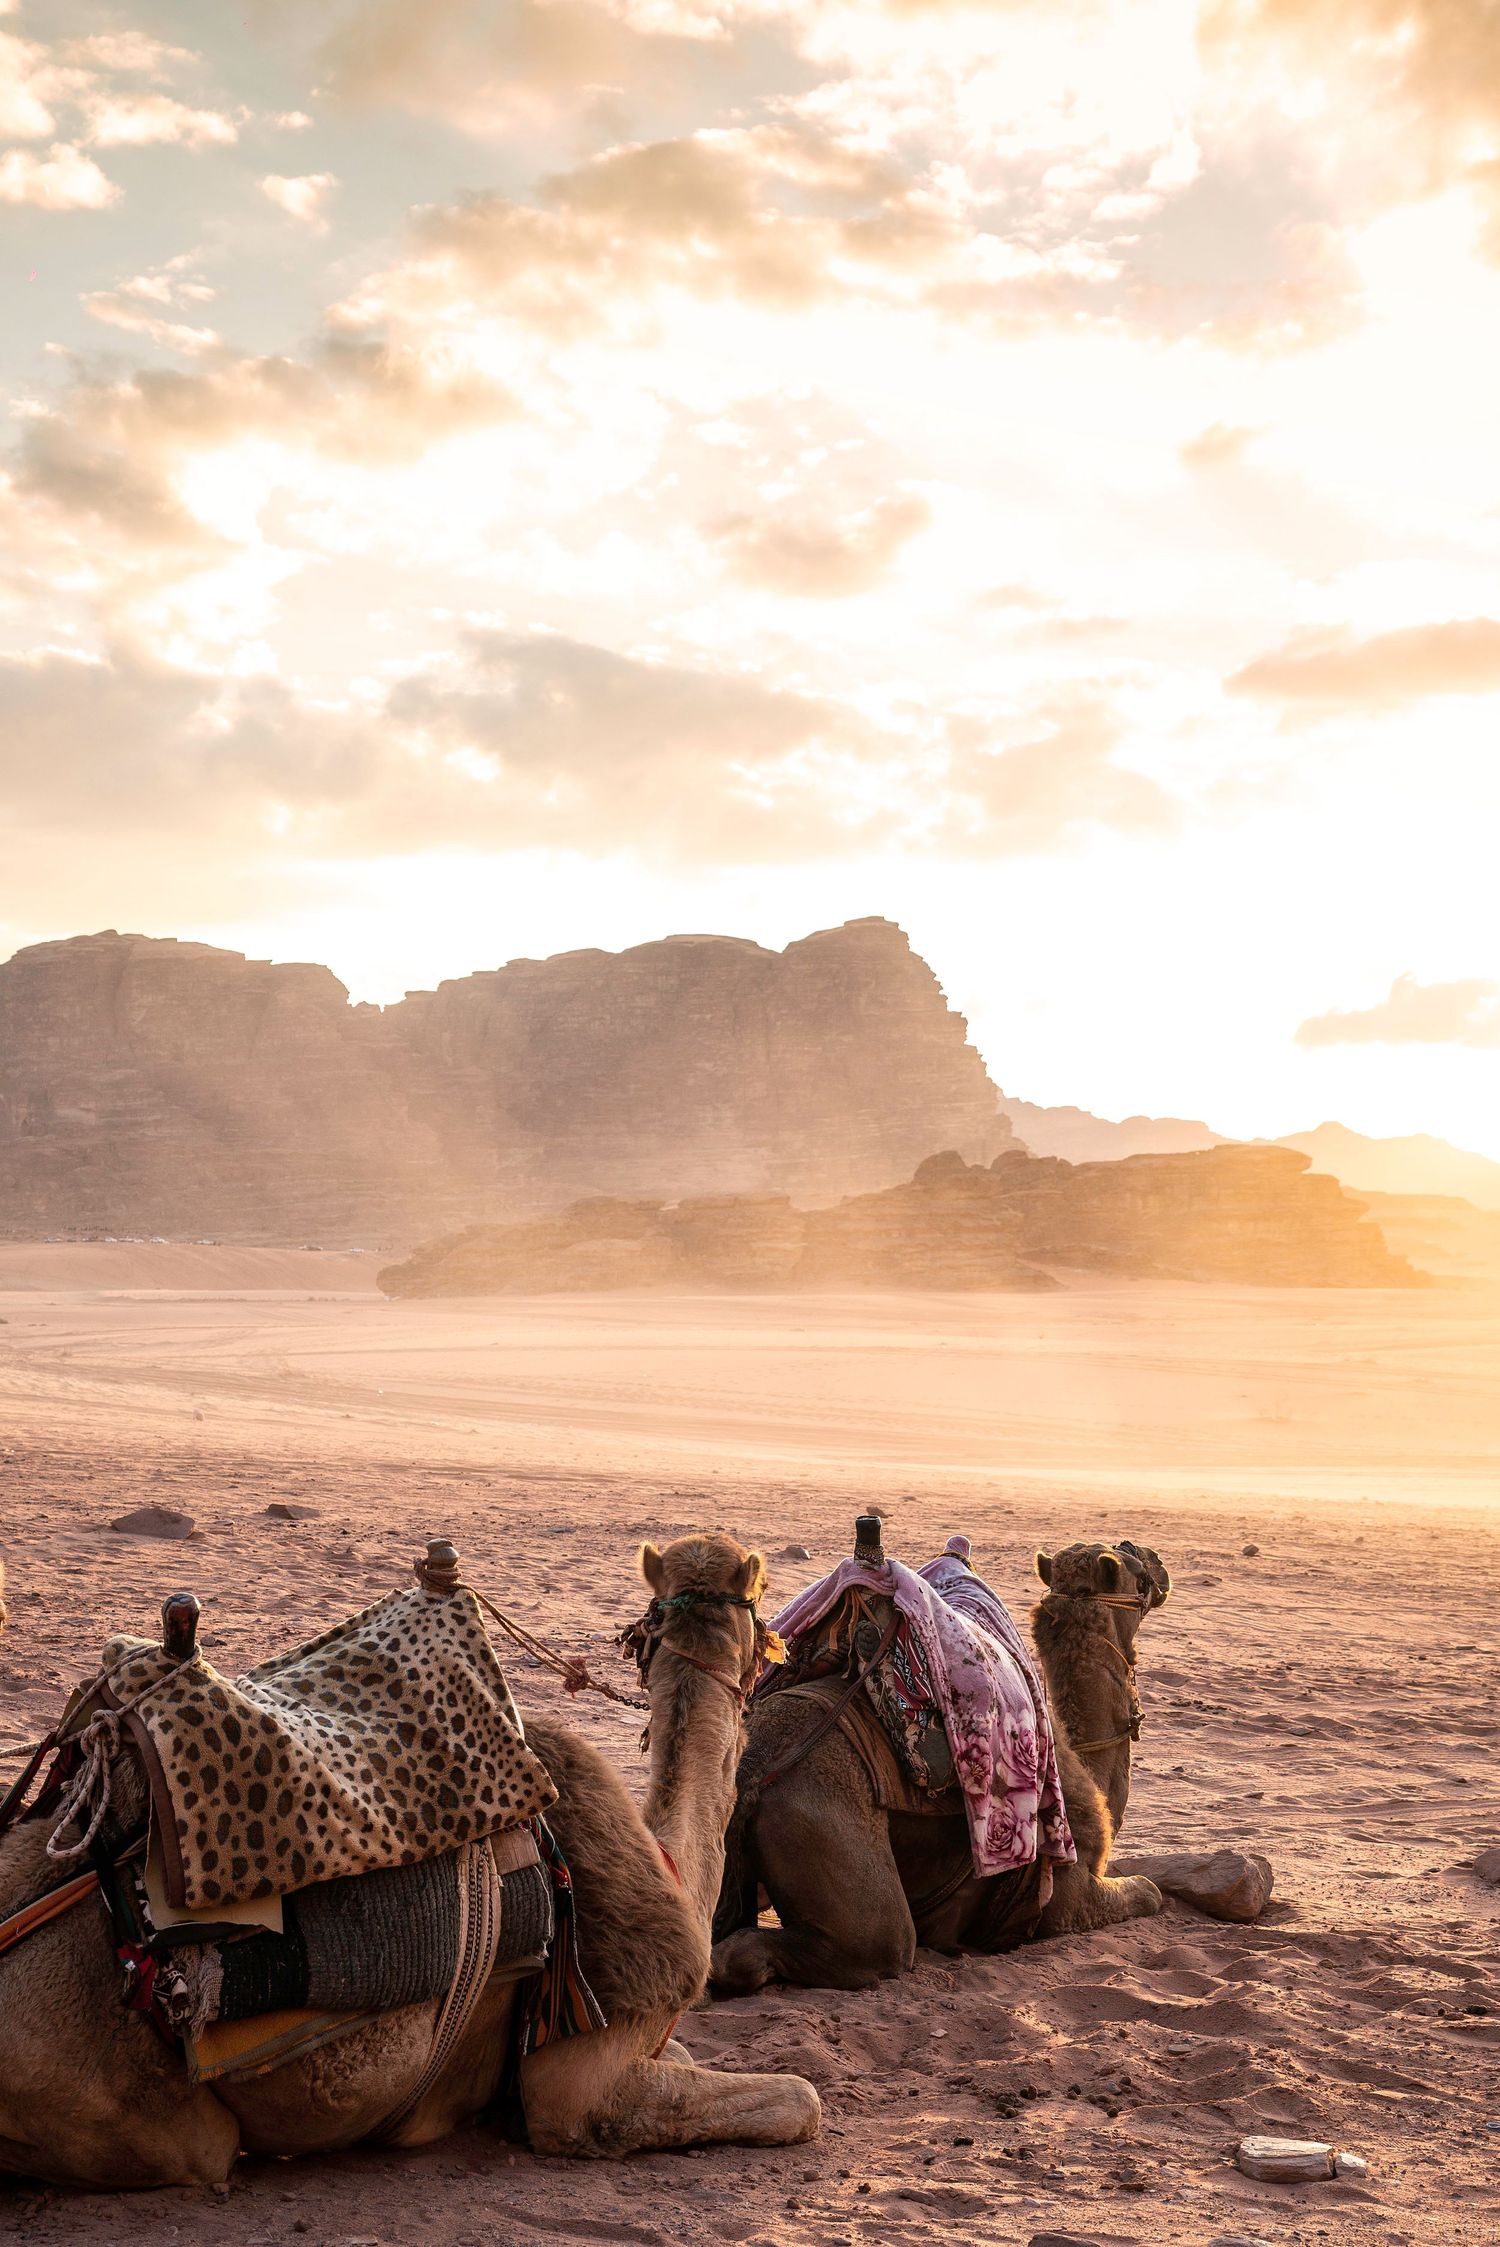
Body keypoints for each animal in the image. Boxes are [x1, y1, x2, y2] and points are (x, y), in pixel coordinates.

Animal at [0, 1533, 820, 2189]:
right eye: (762, 1605)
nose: (779, 1647)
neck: (673, 1862)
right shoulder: (578, 2074)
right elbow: (800, 2101)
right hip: (142, 2113)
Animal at [711, 1531, 1174, 1994]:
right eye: (1135, 1569)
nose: (1151, 1556)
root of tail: (753, 1769)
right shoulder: (1066, 1895)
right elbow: (1149, 1891)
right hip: (827, 1831)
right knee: (868, 1944)